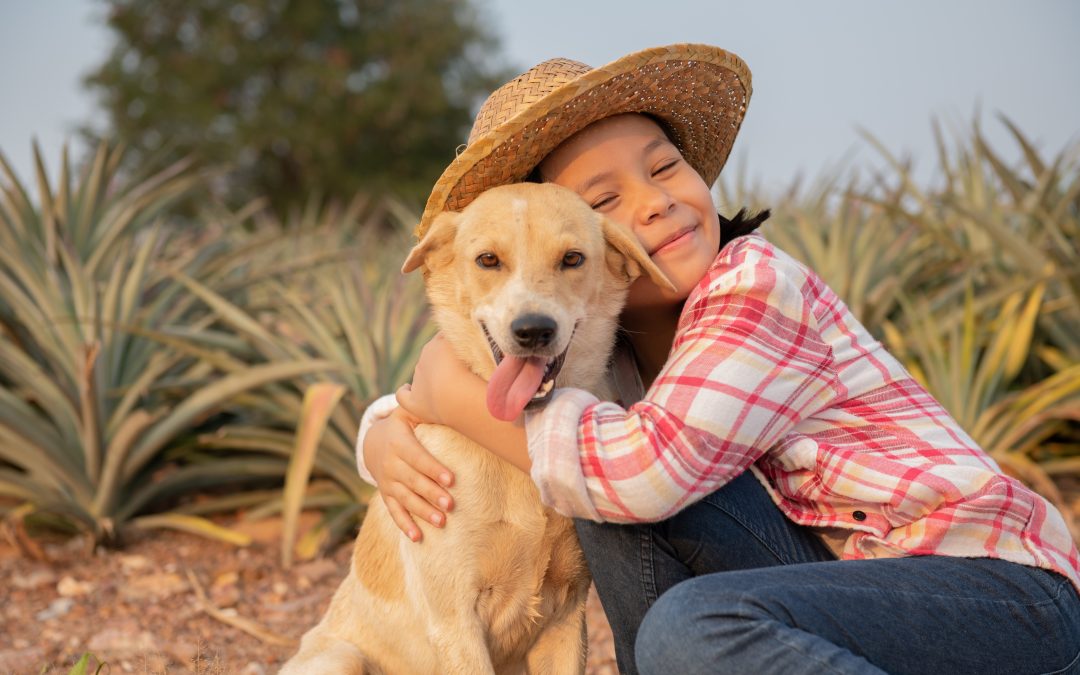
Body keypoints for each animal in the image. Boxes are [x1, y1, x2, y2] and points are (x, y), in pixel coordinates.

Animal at [280, 181, 665, 669]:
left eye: (572, 259)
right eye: (488, 260)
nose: (533, 330)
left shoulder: (566, 620)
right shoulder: (456, 625)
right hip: (340, 659)